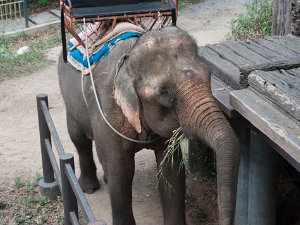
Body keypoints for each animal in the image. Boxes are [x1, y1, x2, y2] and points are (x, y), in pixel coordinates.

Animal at [58, 26, 240, 225]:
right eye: (164, 92)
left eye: (209, 75)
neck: (129, 59)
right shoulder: (107, 110)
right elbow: (121, 170)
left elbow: (171, 168)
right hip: (70, 102)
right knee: (79, 139)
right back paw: (89, 188)